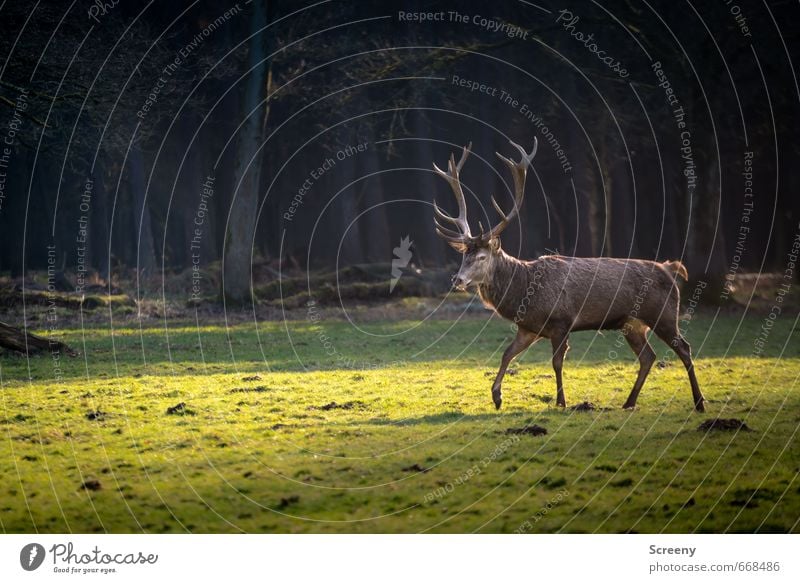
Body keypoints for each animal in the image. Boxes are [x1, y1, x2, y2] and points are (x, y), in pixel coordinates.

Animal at [432, 140, 708, 416]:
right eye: (463, 255)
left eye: (481, 257)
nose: (457, 280)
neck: (524, 292)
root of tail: (670, 269)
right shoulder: (528, 328)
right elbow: (507, 354)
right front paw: (497, 397)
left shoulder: (561, 321)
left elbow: (556, 362)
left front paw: (561, 402)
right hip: (633, 323)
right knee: (648, 356)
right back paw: (629, 402)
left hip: (663, 314)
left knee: (684, 348)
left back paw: (699, 402)